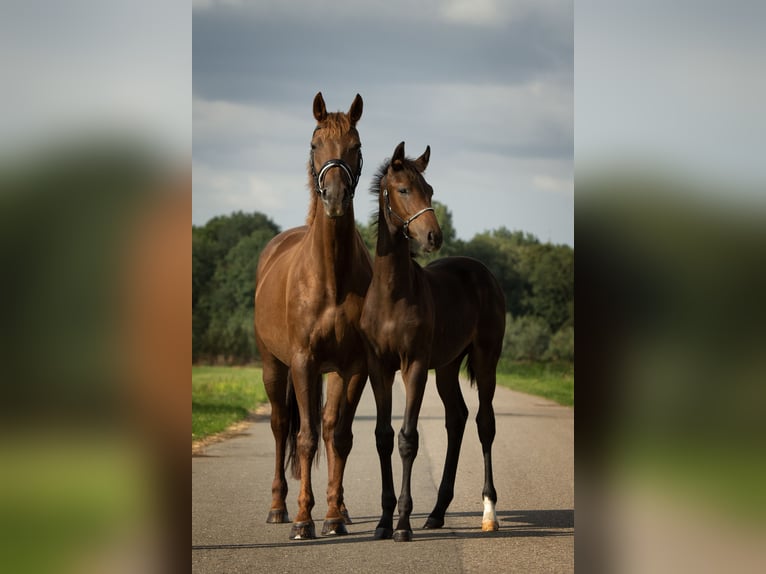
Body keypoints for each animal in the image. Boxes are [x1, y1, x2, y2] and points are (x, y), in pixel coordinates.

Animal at [256, 92, 374, 544]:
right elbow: (304, 440)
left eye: (356, 146)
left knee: (327, 429)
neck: (331, 278)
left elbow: (338, 437)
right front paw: (304, 521)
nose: (336, 198)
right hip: (274, 367)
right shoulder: (303, 362)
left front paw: (333, 516)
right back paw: (278, 508)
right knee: (280, 426)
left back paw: (339, 510)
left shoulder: (353, 366)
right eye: (314, 144)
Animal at [364, 142, 508, 544]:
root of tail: (483, 272)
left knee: (484, 423)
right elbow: (383, 436)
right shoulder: (379, 368)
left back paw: (489, 512)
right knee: (456, 418)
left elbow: (407, 438)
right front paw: (383, 522)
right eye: (402, 190)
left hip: (485, 359)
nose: (433, 237)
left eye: (429, 190)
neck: (393, 295)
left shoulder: (413, 366)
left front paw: (402, 524)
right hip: (446, 367)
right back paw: (437, 512)